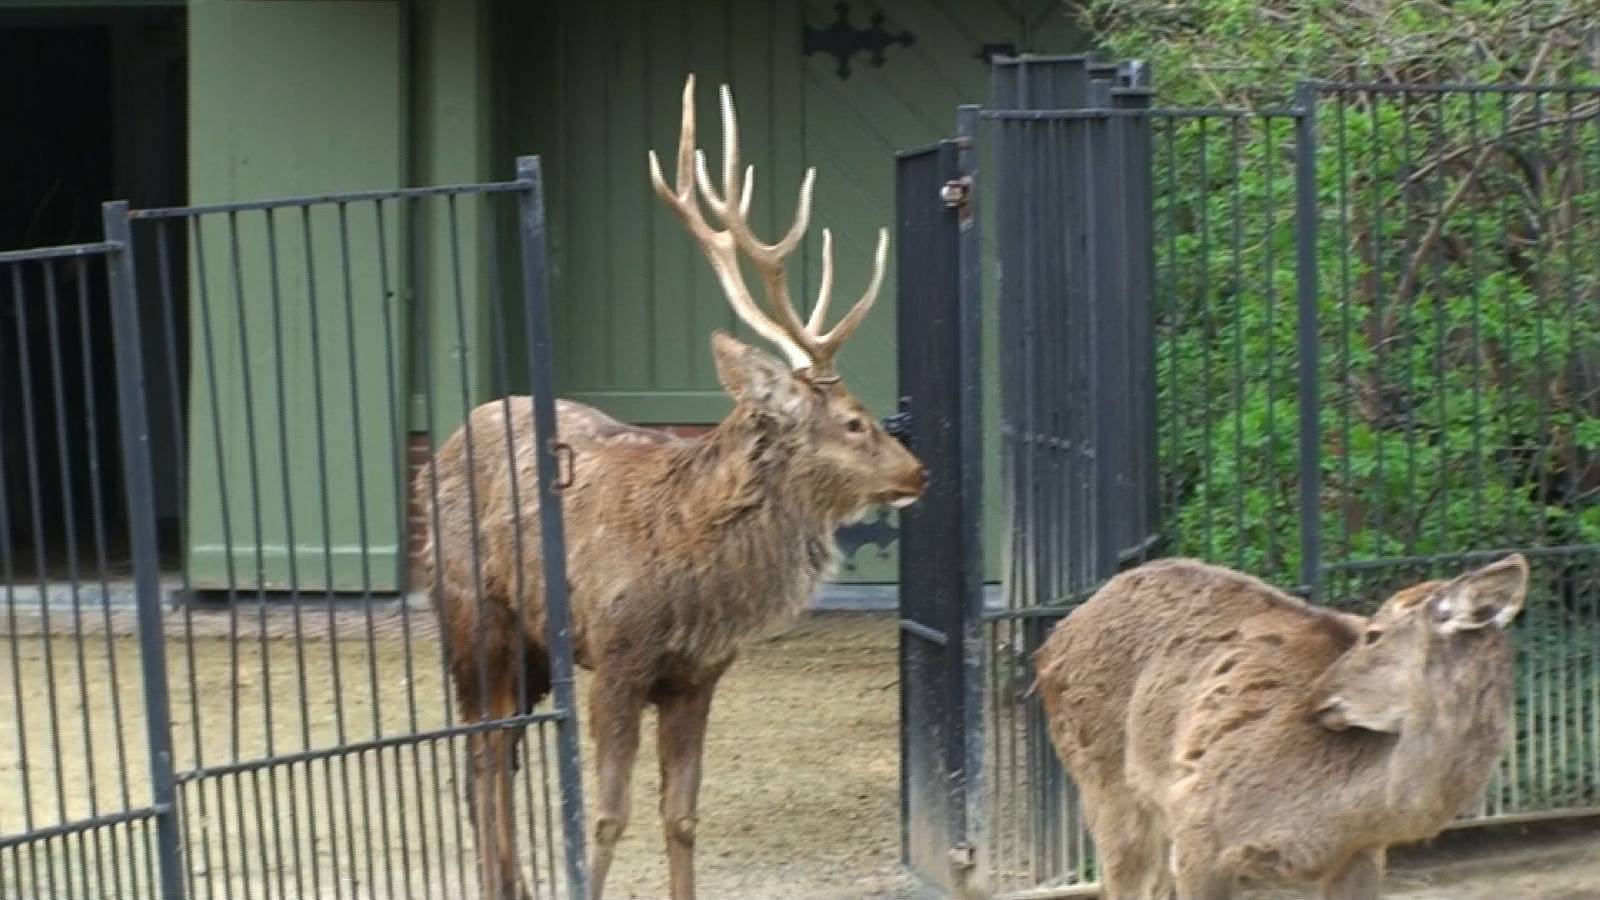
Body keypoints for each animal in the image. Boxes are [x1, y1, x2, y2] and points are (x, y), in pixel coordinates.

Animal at [415, 74, 926, 900]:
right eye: (854, 421)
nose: (918, 471)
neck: (691, 578)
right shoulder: (617, 660)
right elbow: (605, 816)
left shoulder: (697, 676)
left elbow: (680, 815)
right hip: (471, 615)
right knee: (484, 749)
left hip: (529, 647)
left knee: (499, 751)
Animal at [1033, 553, 1528, 900]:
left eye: (1373, 634)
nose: (1315, 696)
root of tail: (1051, 642)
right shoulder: (1198, 828)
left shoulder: (1362, 854)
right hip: (1104, 783)